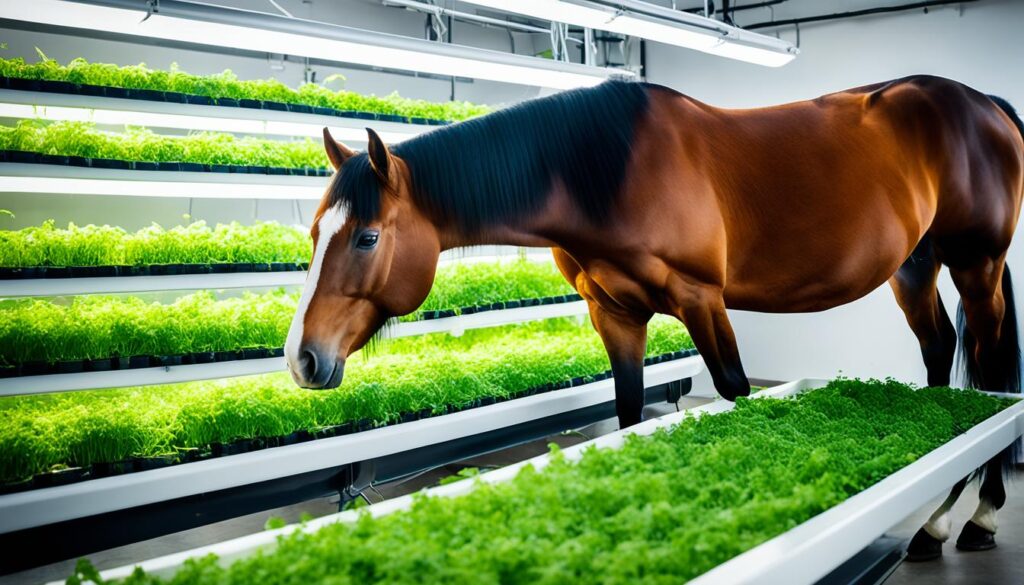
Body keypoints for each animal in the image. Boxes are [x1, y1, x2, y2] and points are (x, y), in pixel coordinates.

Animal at [284, 75, 1019, 561]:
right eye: (316, 232)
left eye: (366, 238)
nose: (301, 358)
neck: (607, 172)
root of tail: (987, 106)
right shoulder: (615, 315)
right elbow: (630, 411)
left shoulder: (701, 299)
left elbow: (734, 392)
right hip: (915, 266)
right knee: (940, 352)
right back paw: (937, 516)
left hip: (976, 264)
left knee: (989, 370)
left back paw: (976, 516)